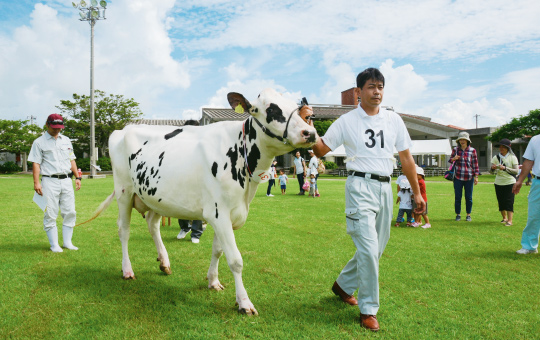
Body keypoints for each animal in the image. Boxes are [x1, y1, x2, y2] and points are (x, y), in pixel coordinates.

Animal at [86, 89, 318, 314]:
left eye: (296, 108)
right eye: (270, 109)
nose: (310, 133)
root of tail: (121, 130)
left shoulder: (226, 214)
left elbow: (218, 250)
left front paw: (213, 281)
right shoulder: (218, 213)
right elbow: (235, 260)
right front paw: (244, 303)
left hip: (155, 196)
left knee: (152, 224)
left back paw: (164, 262)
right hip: (124, 191)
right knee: (124, 230)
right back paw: (127, 270)